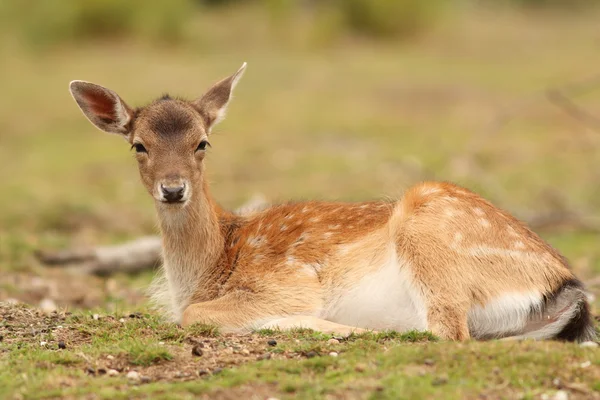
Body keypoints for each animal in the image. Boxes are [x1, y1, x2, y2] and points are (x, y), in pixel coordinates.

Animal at [69, 64, 596, 342]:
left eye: (203, 142)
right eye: (138, 145)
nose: (174, 189)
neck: (210, 267)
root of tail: (566, 286)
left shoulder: (287, 281)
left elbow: (195, 316)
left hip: (428, 232)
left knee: (440, 331)